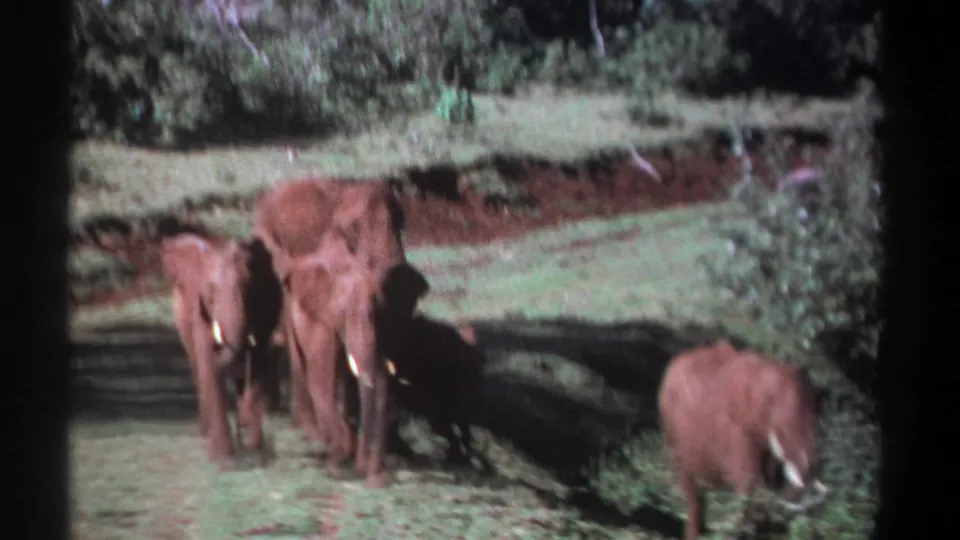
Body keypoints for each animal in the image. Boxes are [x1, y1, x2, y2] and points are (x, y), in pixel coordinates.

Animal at [160, 233, 283, 468]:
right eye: (210, 292)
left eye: (248, 287)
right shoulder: (198, 310)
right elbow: (207, 360)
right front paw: (222, 460)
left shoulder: (263, 310)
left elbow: (257, 360)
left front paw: (253, 448)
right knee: (197, 364)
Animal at [273, 227, 429, 488]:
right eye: (346, 314)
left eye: (380, 313)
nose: (376, 479)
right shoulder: (321, 318)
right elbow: (322, 378)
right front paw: (338, 462)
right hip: (288, 313)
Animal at [658, 340, 828, 540]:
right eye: (769, 401)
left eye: (815, 409)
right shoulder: (734, 428)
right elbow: (749, 480)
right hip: (671, 425)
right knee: (691, 488)